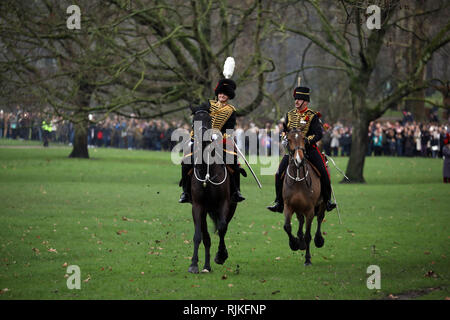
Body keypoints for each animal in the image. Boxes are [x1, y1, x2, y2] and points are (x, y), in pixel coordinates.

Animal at [186, 108, 237, 272]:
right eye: (194, 120)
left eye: (209, 120)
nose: (203, 138)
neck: (207, 171)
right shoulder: (197, 206)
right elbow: (198, 235)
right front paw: (194, 264)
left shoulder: (224, 204)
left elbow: (222, 228)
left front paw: (221, 255)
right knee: (206, 236)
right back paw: (206, 266)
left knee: (223, 227)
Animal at [284, 127, 326, 264]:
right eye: (289, 139)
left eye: (304, 138)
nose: (299, 160)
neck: (298, 178)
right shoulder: (288, 206)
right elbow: (287, 227)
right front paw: (294, 243)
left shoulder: (310, 210)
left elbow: (308, 235)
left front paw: (307, 259)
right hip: (298, 208)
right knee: (300, 220)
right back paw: (300, 240)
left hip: (322, 204)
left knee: (320, 218)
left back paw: (318, 239)